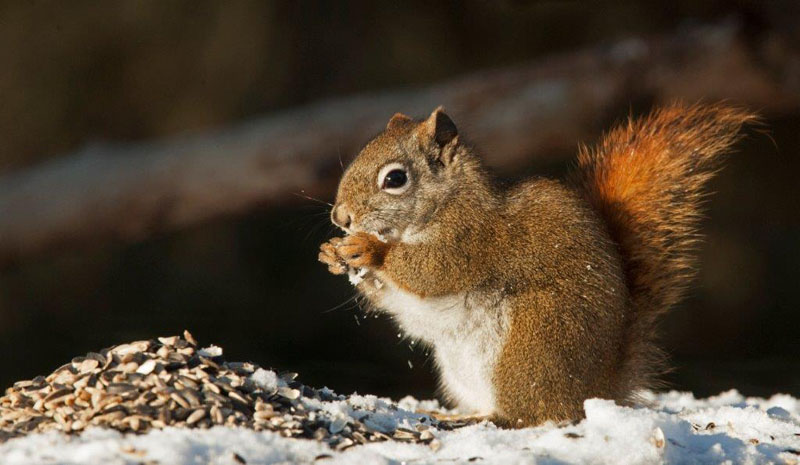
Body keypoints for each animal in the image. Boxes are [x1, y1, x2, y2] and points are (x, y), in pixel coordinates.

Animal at [318, 103, 754, 427]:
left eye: (395, 179)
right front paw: (332, 254)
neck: (447, 203)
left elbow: (433, 271)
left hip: (534, 341)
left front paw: (371, 250)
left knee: (531, 414)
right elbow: (391, 295)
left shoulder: (472, 239)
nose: (341, 217)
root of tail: (598, 389)